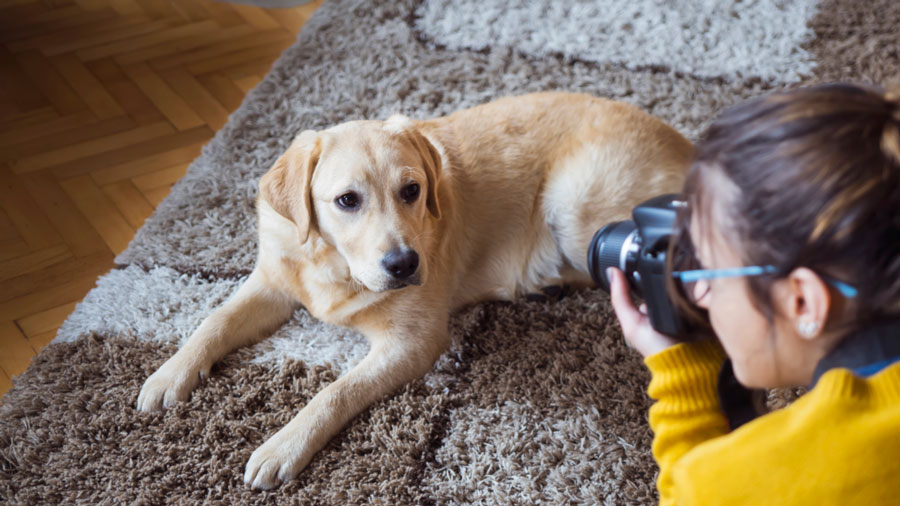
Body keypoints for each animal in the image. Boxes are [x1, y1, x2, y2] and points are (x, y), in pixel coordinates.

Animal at [135, 93, 696, 488]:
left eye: (413, 190)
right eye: (347, 200)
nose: (404, 264)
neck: (336, 265)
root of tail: (687, 145)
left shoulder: (413, 342)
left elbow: (336, 391)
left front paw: (284, 445)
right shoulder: (272, 282)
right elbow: (214, 321)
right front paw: (170, 373)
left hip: (575, 208)